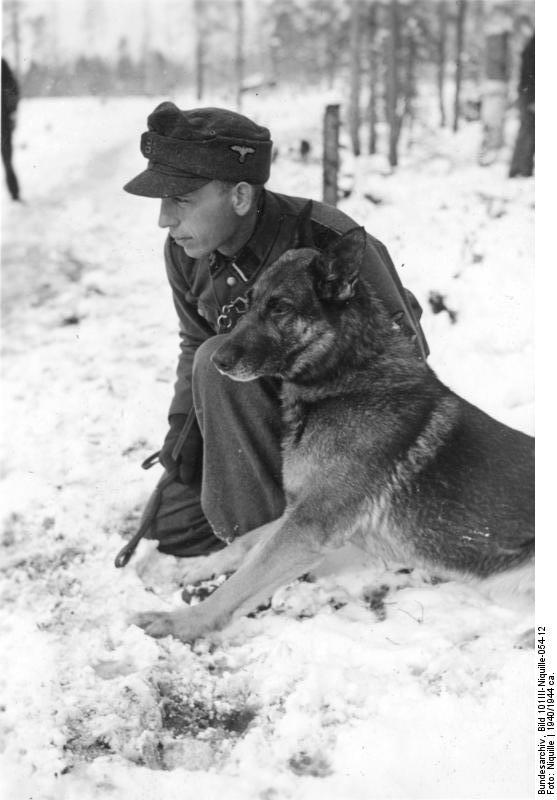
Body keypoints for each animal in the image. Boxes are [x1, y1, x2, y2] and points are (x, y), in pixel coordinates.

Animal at [135, 228, 536, 640]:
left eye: (280, 308)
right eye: (247, 303)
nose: (217, 360)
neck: (345, 380)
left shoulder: (309, 525)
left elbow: (240, 583)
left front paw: (180, 622)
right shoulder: (301, 512)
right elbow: (249, 542)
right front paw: (199, 567)